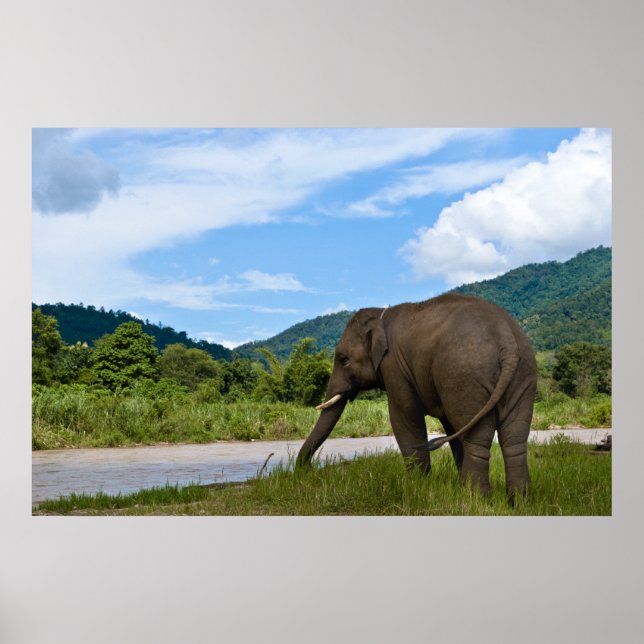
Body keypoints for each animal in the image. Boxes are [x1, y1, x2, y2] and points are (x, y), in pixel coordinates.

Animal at [295, 294, 537, 499]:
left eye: (343, 359)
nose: (310, 470)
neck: (381, 314)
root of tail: (506, 339)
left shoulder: (394, 366)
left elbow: (404, 416)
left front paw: (416, 485)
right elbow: (449, 425)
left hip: (465, 375)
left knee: (477, 438)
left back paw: (476, 500)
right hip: (522, 373)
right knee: (514, 437)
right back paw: (517, 501)